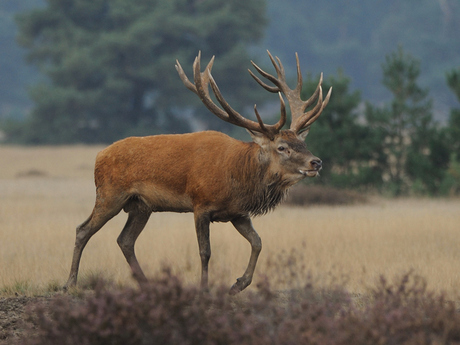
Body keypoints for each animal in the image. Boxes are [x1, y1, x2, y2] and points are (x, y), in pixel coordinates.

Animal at [63, 50, 330, 292]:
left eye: (303, 143)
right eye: (282, 147)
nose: (316, 162)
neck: (238, 176)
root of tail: (99, 156)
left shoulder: (237, 212)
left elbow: (258, 242)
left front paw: (238, 284)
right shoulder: (201, 204)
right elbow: (205, 251)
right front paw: (204, 288)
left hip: (141, 205)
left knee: (125, 240)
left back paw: (147, 284)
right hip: (110, 194)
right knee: (83, 229)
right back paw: (71, 283)